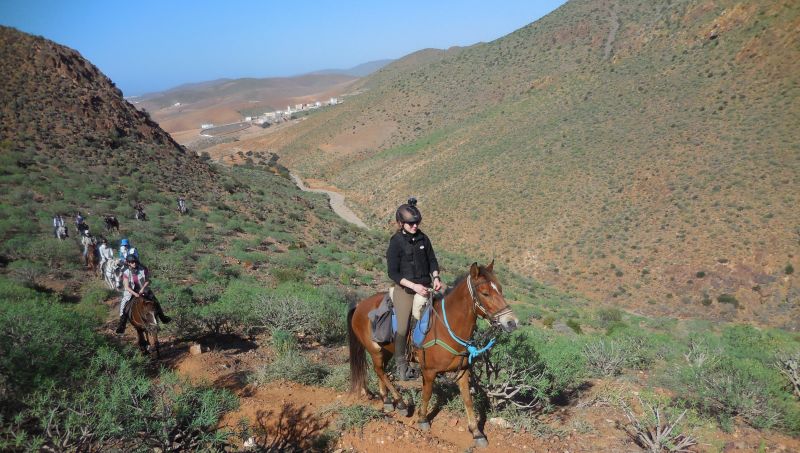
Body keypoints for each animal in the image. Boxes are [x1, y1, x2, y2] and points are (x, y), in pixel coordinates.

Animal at [348, 260, 520, 446]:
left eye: (500, 289)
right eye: (485, 293)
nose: (512, 322)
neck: (447, 327)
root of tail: (360, 305)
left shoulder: (463, 371)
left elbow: (468, 400)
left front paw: (476, 432)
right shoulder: (429, 371)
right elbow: (427, 394)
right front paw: (423, 419)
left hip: (386, 350)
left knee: (381, 372)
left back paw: (387, 401)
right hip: (375, 350)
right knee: (380, 371)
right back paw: (401, 403)